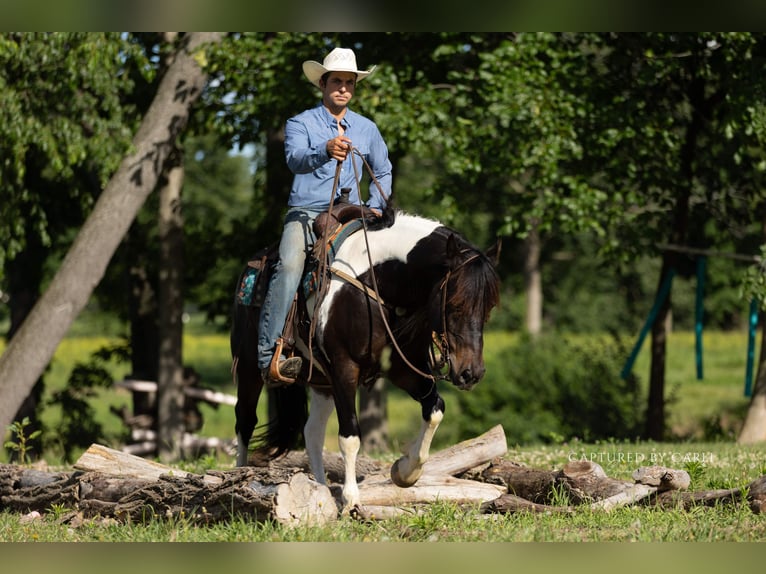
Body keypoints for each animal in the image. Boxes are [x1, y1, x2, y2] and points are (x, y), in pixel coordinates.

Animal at [230, 207, 500, 513]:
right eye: (455, 304)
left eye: (489, 306)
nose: (471, 373)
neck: (377, 283)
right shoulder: (344, 369)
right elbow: (350, 436)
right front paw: (351, 501)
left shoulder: (403, 369)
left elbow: (435, 409)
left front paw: (405, 471)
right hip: (250, 367)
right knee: (245, 419)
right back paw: (239, 475)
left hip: (322, 383)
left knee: (312, 432)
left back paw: (320, 489)